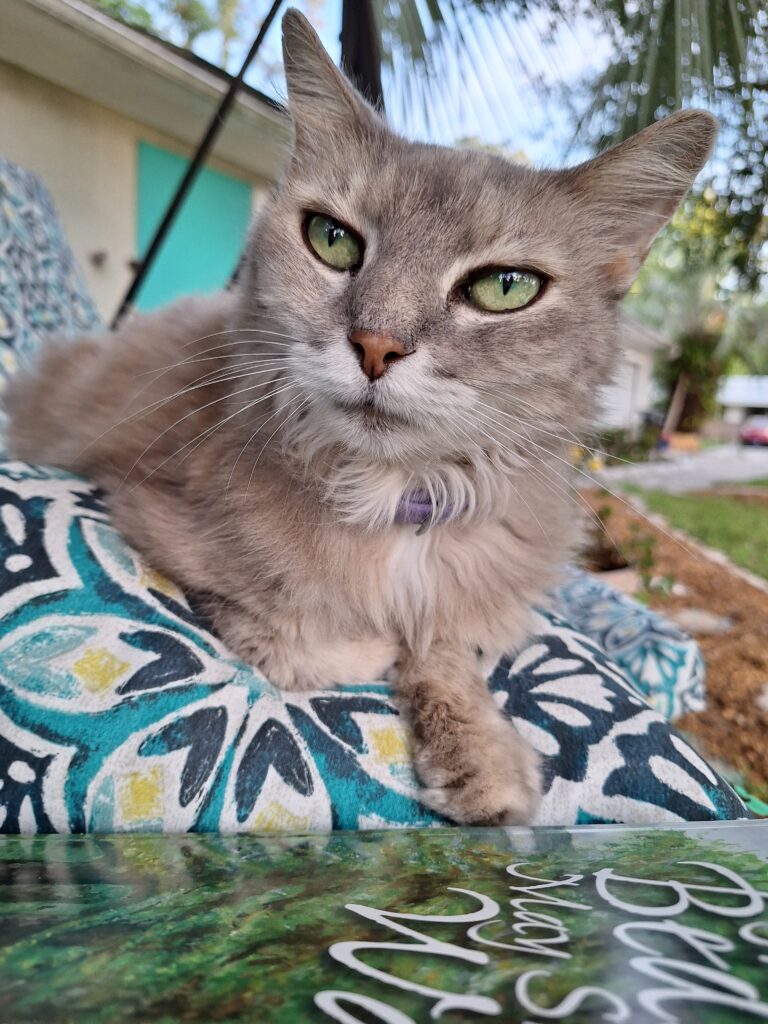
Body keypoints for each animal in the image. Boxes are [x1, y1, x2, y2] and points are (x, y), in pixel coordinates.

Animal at [5, 9, 717, 826]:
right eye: (332, 239)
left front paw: (482, 755)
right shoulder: (149, 512)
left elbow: (445, 647)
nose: (377, 345)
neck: (391, 496)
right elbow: (302, 636)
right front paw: (371, 650)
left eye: (505, 287)